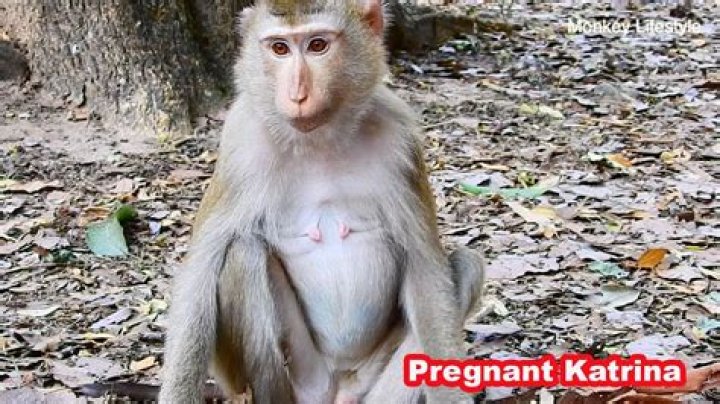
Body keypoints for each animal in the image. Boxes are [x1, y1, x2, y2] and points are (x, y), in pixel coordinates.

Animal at [158, 1, 485, 403]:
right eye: (279, 48)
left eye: (317, 45)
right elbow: (199, 275)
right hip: (301, 376)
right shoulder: (240, 145)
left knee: (466, 266)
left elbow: (426, 270)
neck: (320, 140)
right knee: (242, 253)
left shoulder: (402, 142)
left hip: (365, 379)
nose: (298, 94)